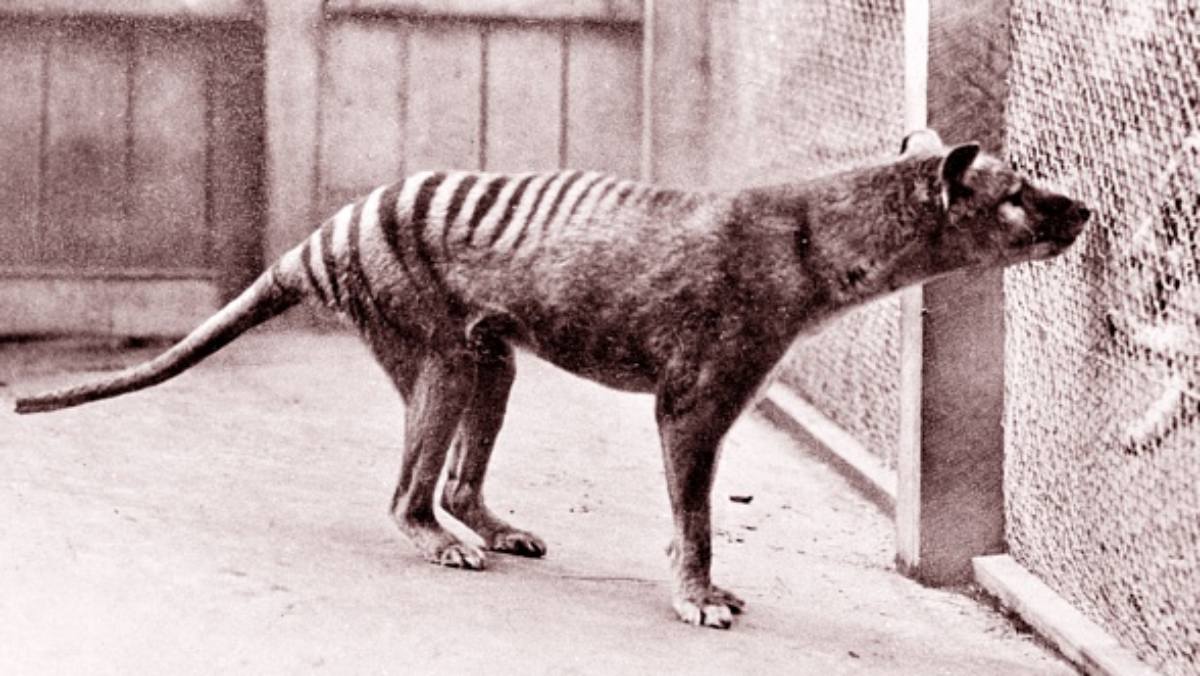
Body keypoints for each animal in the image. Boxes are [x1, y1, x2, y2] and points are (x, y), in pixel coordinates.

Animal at [14, 129, 1091, 629]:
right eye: (1018, 193)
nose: (1083, 209)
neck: (814, 238)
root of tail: (326, 233)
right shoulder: (695, 398)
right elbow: (696, 513)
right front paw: (698, 595)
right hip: (441, 353)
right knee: (408, 492)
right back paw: (443, 544)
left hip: (490, 356)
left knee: (456, 477)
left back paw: (490, 526)